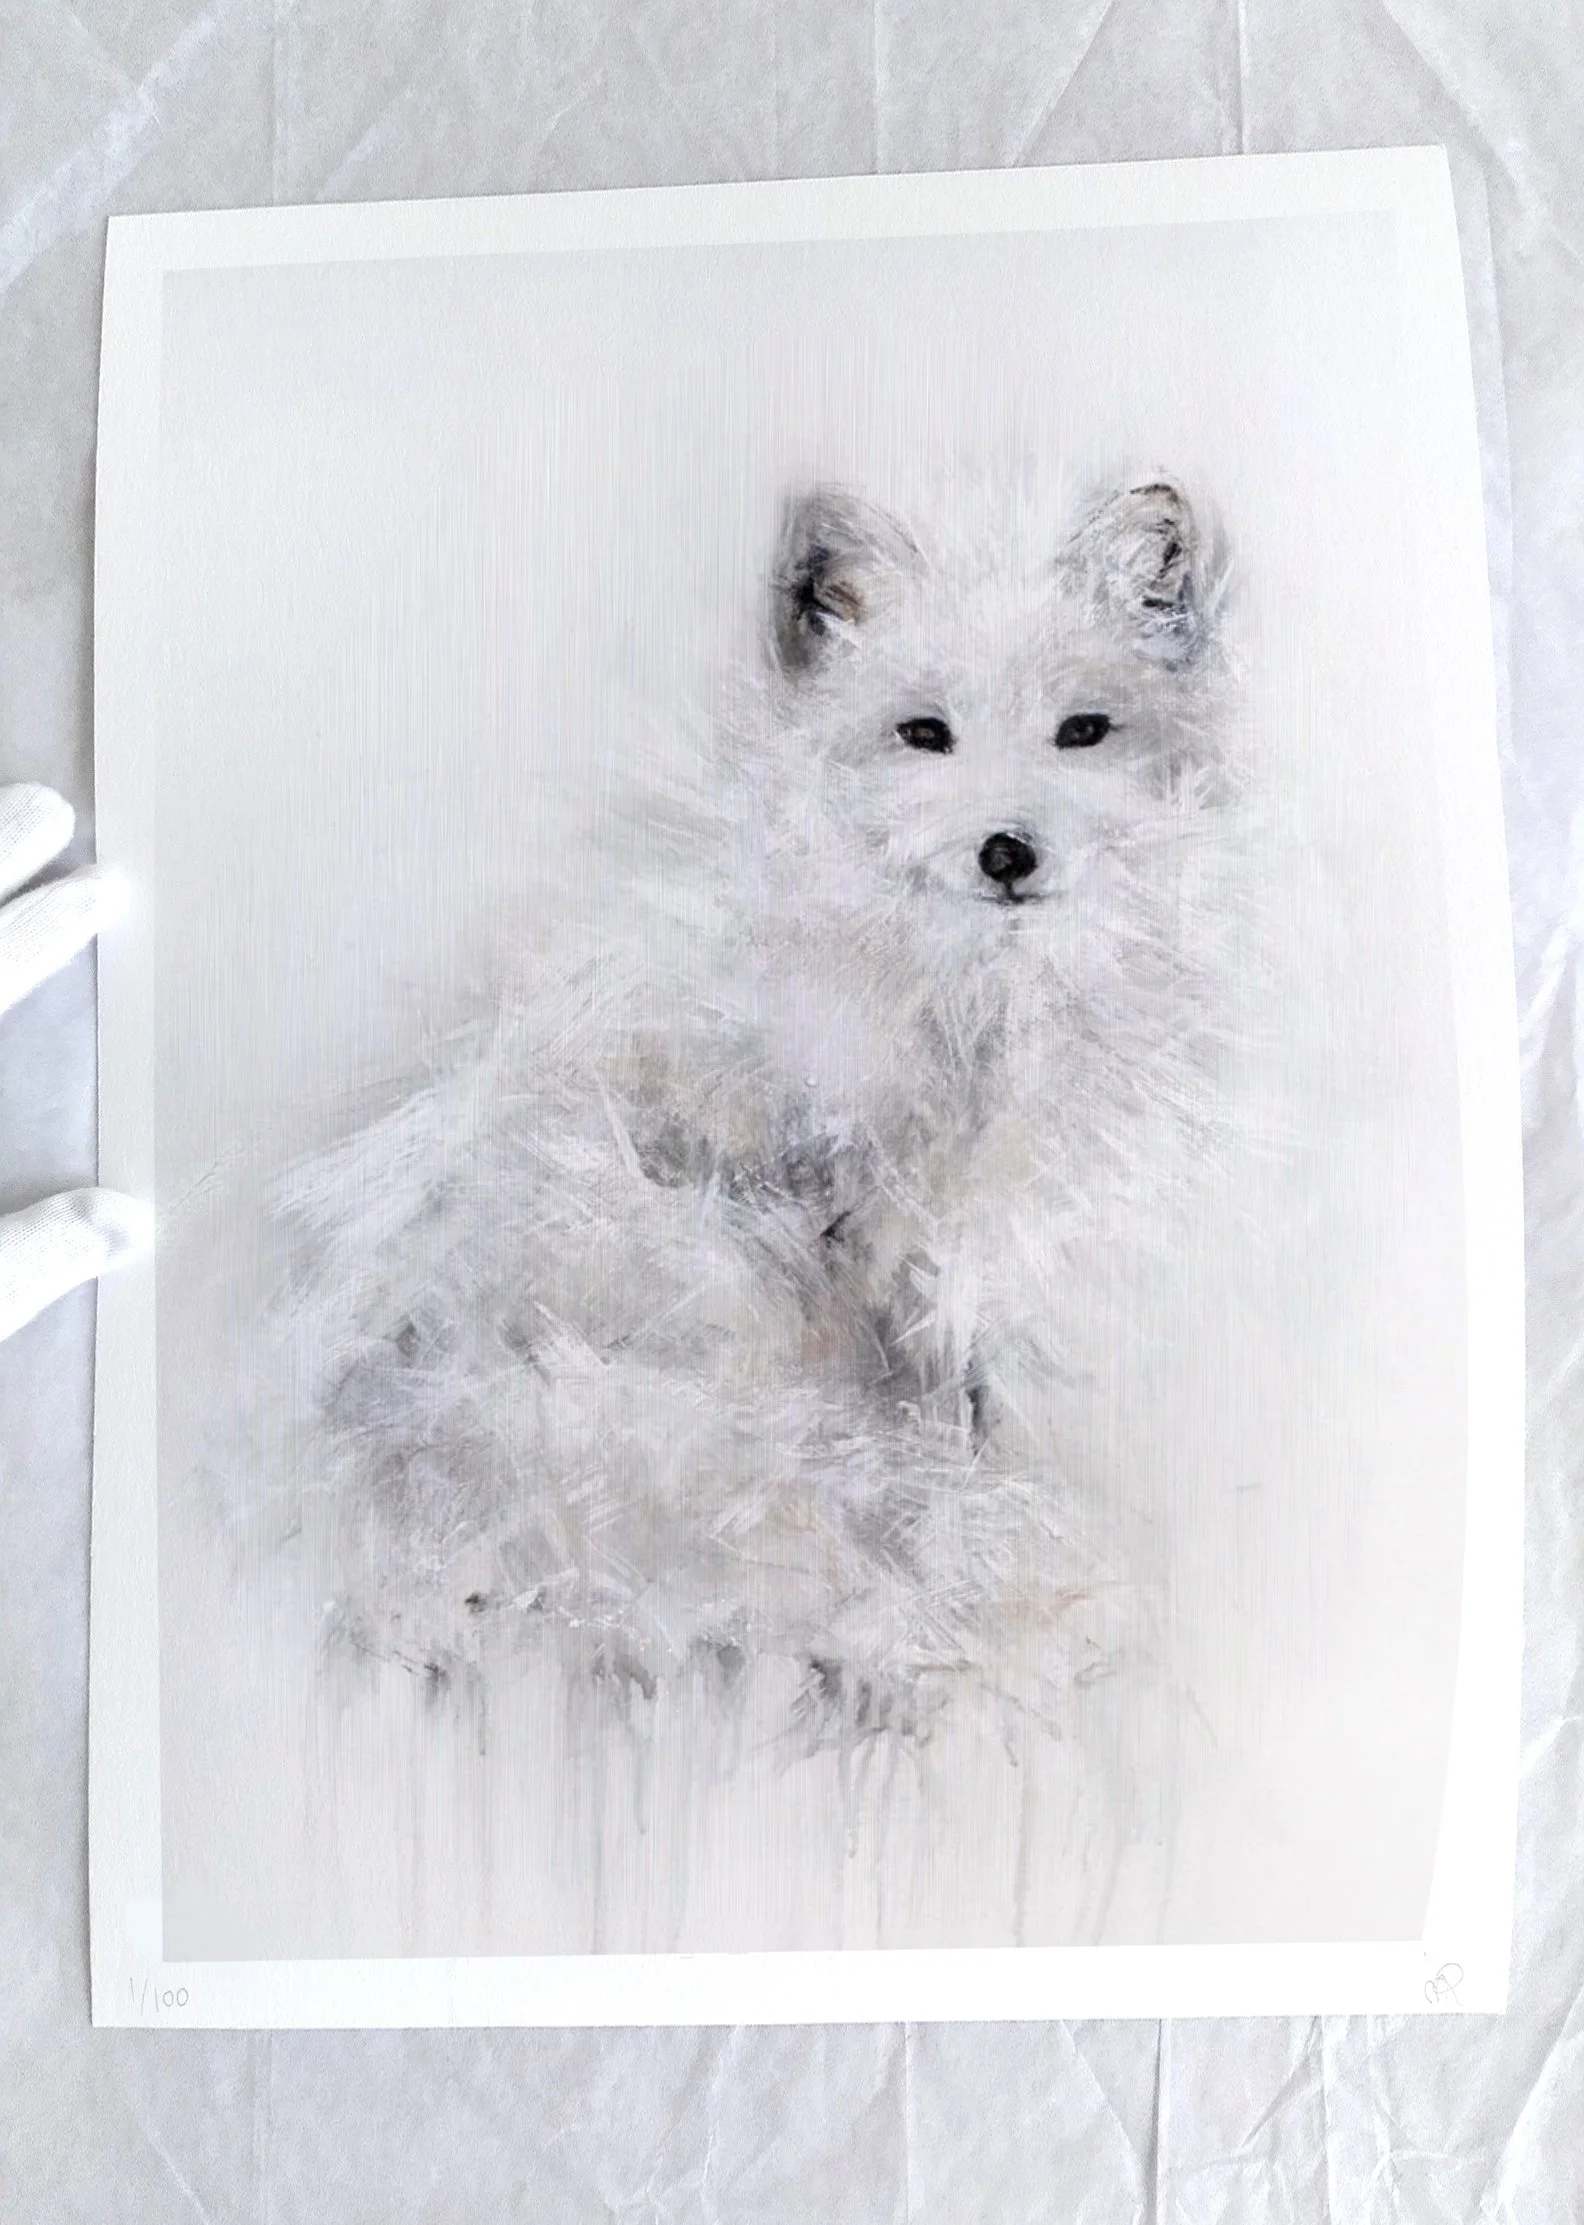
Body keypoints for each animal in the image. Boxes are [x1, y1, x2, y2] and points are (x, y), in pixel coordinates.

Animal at [268, 465, 1240, 1760]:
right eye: (923, 733)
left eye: (1083, 731)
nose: (1006, 850)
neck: (961, 994)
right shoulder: (869, 1224)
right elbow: (942, 1407)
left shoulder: (940, 1248)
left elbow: (967, 1399)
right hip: (717, 1259)